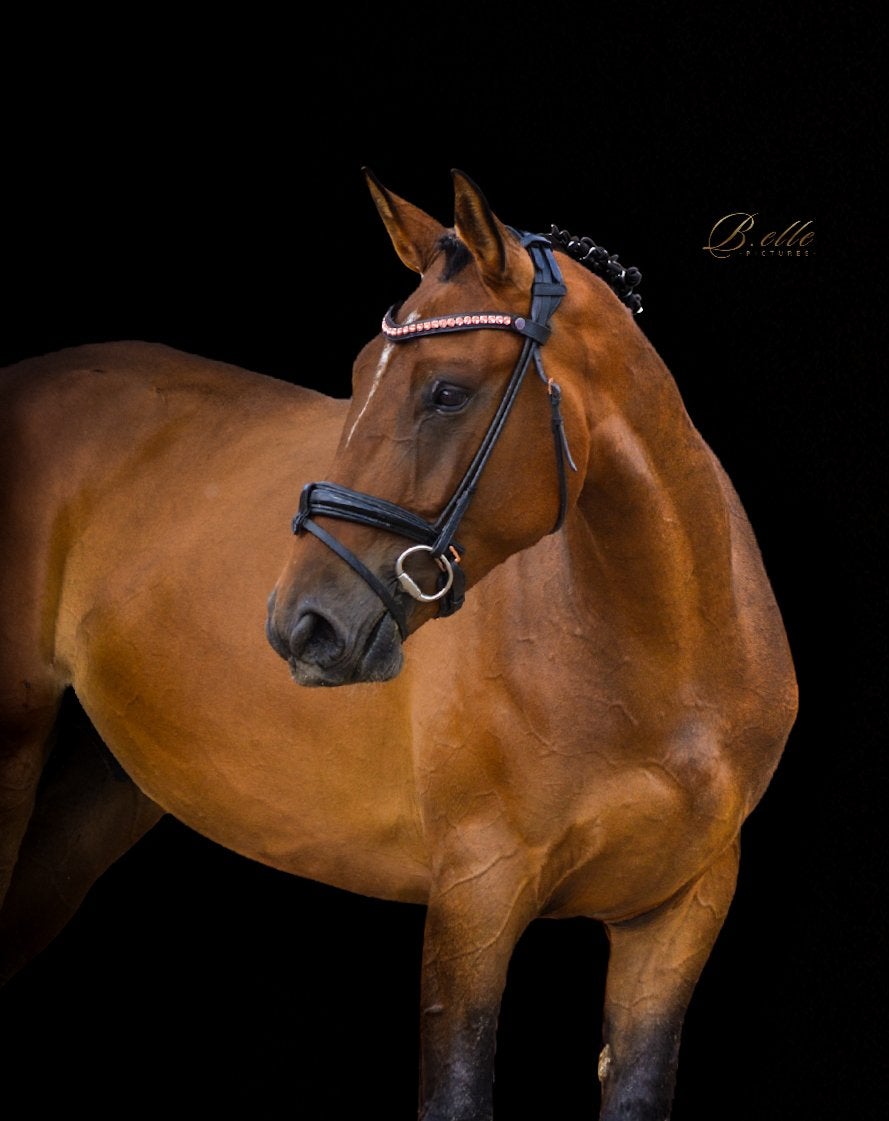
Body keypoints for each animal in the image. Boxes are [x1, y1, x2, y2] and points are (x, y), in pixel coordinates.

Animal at [0, 169, 797, 1120]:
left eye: (446, 391)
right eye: (355, 376)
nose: (302, 624)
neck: (661, 658)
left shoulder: (678, 912)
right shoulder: (475, 894)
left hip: (100, 785)